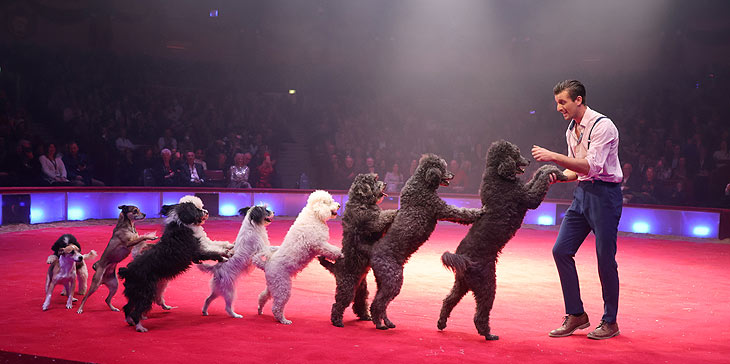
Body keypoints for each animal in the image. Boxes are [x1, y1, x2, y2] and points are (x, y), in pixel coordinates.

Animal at [119, 198, 232, 332]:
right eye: (196, 209)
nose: (206, 211)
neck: (184, 224)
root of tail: (127, 271)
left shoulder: (204, 243)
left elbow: (217, 244)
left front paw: (229, 246)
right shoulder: (197, 252)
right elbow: (214, 252)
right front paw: (225, 256)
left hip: (136, 293)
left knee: (127, 307)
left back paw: (130, 321)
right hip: (145, 292)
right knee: (136, 311)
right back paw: (140, 327)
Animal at [253, 191, 344, 324]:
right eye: (328, 202)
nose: (339, 205)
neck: (314, 215)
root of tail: (266, 265)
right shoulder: (319, 244)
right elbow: (331, 250)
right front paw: (340, 253)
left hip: (273, 285)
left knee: (262, 296)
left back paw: (260, 309)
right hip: (282, 286)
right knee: (276, 307)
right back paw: (283, 320)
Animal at [318, 173, 398, 328]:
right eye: (374, 180)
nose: (385, 183)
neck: (361, 201)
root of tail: (335, 267)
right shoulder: (373, 222)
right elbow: (384, 215)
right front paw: (395, 211)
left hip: (361, 289)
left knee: (359, 303)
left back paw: (365, 316)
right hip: (347, 288)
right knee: (338, 304)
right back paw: (337, 321)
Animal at [370, 154, 484, 330]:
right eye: (443, 168)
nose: (453, 174)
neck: (421, 183)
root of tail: (374, 254)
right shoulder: (442, 209)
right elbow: (460, 212)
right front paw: (479, 212)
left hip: (383, 282)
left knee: (382, 304)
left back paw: (387, 322)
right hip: (393, 279)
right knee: (378, 304)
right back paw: (378, 323)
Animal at [436, 140, 564, 342]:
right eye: (516, 152)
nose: (528, 160)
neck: (497, 175)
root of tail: (463, 258)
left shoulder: (524, 189)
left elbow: (536, 176)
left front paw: (546, 167)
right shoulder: (528, 198)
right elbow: (541, 180)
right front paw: (553, 170)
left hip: (461, 284)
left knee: (448, 300)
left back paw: (441, 323)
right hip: (487, 284)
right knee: (480, 314)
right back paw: (488, 334)